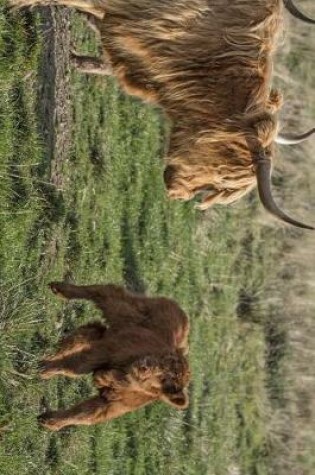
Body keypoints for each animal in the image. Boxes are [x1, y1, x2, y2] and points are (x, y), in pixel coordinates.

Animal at [37, 282, 190, 432]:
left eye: (164, 380)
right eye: (163, 361)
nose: (145, 367)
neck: (124, 376)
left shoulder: (113, 404)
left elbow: (84, 414)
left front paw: (49, 422)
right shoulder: (107, 349)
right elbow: (75, 366)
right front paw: (45, 370)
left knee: (87, 333)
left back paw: (48, 357)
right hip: (122, 307)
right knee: (102, 292)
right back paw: (58, 288)